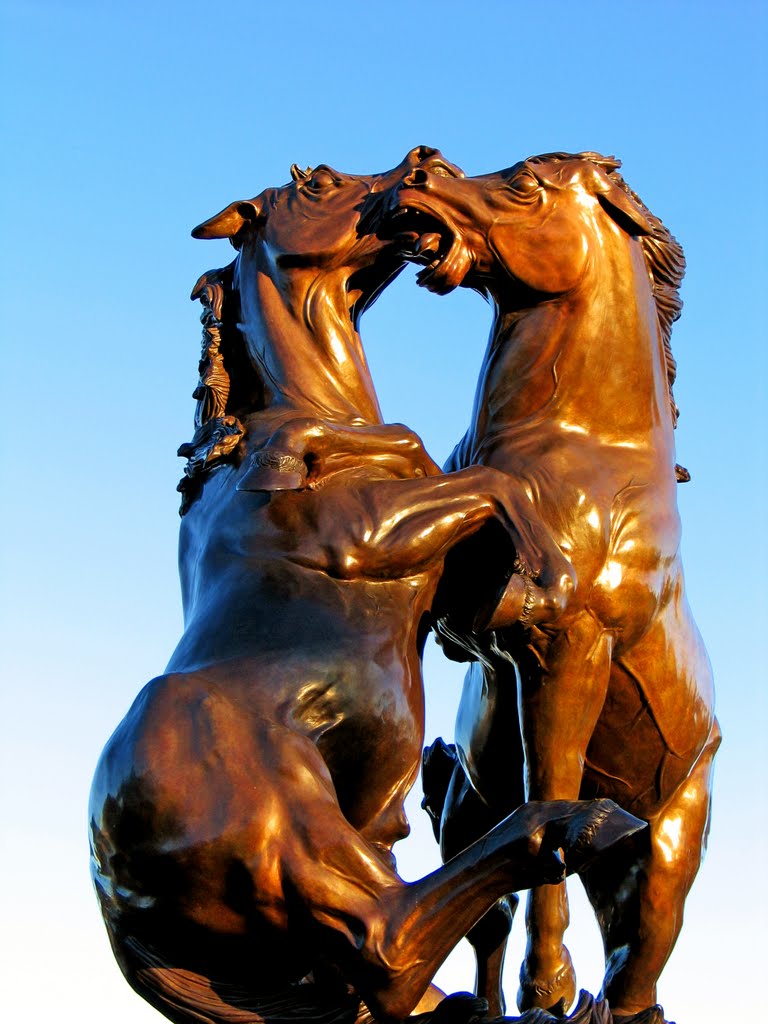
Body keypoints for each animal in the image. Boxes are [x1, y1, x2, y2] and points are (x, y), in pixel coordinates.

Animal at [87, 144, 630, 1024]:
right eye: (315, 182)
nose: (423, 158)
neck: (291, 416)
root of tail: (108, 887)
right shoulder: (368, 536)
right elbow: (490, 484)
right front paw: (547, 569)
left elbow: (460, 482)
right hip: (284, 833)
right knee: (389, 942)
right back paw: (574, 826)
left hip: (325, 886)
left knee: (391, 967)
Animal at [387, 153, 724, 1024]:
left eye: (524, 185)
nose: (420, 167)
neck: (582, 447)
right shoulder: (459, 624)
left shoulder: (567, 646)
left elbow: (554, 791)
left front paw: (549, 985)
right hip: (471, 810)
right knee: (486, 917)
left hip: (663, 860)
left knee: (634, 972)